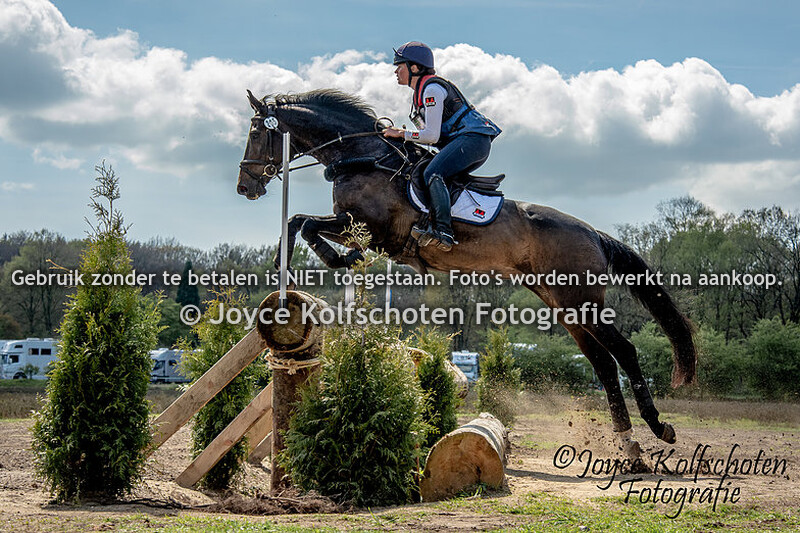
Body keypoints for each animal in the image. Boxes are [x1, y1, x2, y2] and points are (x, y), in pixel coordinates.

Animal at [236, 88, 696, 460]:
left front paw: (334, 260)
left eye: (257, 133)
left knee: (624, 352)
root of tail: (594, 233)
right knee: (602, 363)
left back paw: (659, 428)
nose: (245, 187)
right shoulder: (357, 227)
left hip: (582, 302)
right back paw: (628, 444)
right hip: (563, 305)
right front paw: (309, 263)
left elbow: (306, 224)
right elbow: (298, 221)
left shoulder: (373, 229)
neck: (364, 157)